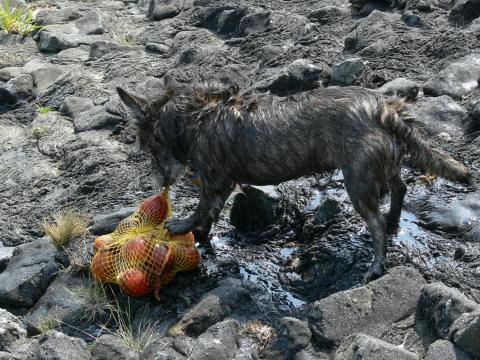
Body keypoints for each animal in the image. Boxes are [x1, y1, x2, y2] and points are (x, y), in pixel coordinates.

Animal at [118, 78, 470, 282]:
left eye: (152, 148)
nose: (160, 182)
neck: (196, 116)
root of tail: (383, 108)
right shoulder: (223, 181)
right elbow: (211, 213)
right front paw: (202, 235)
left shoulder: (214, 177)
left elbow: (202, 207)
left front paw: (181, 226)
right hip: (384, 161)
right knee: (400, 187)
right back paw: (396, 221)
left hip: (358, 178)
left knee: (377, 222)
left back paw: (376, 264)